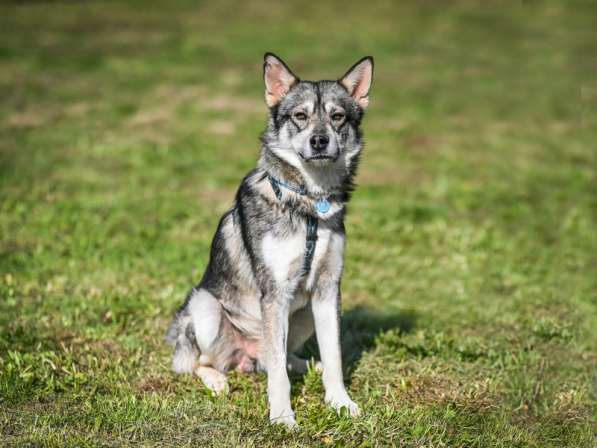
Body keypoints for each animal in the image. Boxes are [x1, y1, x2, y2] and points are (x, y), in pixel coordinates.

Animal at [165, 52, 372, 428]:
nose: (319, 141)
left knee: (286, 356)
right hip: (204, 305)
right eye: (300, 116)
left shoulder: (328, 290)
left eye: (337, 117)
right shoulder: (275, 293)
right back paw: (217, 381)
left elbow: (334, 359)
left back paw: (308, 365)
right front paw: (282, 417)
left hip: (303, 314)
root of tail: (248, 358)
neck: (309, 202)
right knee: (201, 362)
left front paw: (341, 403)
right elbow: (278, 375)